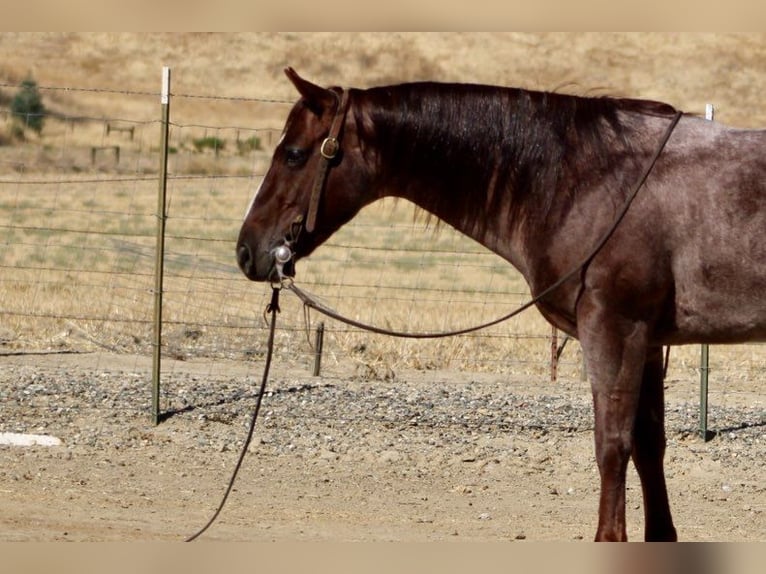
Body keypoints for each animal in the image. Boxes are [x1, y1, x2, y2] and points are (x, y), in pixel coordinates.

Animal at [237, 67, 766, 541]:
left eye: (294, 154)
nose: (247, 249)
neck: (588, 180)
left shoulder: (615, 331)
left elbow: (612, 447)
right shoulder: (648, 342)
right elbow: (648, 446)